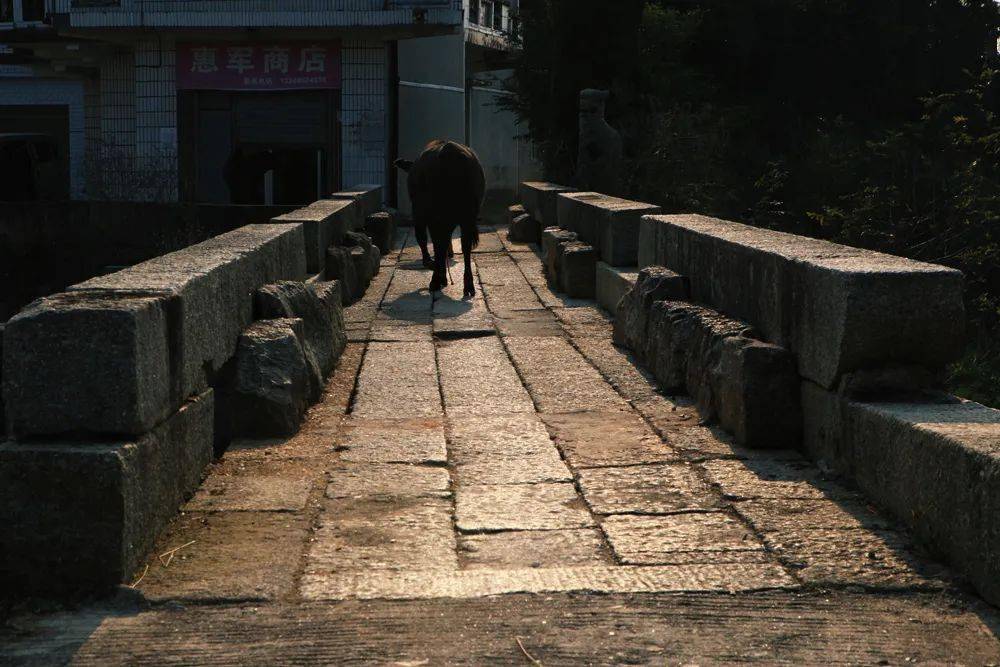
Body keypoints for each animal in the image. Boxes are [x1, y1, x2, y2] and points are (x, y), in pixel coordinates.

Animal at [394, 139, 484, 298]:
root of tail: (450, 150)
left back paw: (436, 279)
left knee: (435, 242)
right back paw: (468, 285)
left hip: (432, 214)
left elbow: (425, 240)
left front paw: (435, 270)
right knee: (465, 246)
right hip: (467, 216)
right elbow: (444, 243)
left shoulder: (421, 214)